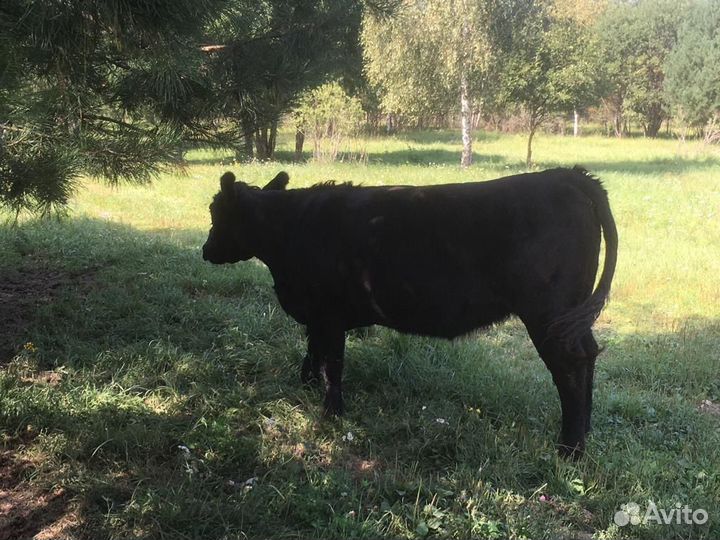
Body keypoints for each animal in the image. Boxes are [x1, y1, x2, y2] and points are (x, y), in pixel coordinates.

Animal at [202, 167, 618, 458]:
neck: (290, 230)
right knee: (588, 355)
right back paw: (586, 429)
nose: (205, 250)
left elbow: (331, 363)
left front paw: (331, 412)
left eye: (215, 212)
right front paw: (304, 387)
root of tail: (567, 174)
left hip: (547, 312)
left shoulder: (328, 313)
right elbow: (313, 351)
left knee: (570, 366)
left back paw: (570, 448)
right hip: (571, 314)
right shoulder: (317, 315)